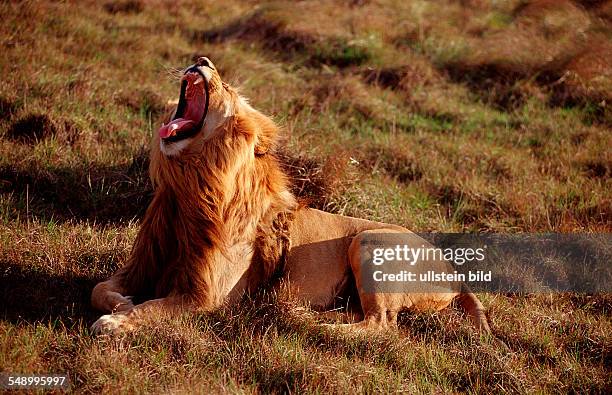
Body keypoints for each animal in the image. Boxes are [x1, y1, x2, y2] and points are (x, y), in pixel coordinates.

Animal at [91, 58, 490, 338]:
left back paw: (311, 325)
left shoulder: (208, 297)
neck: (189, 189)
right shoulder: (142, 266)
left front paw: (115, 322)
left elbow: (152, 309)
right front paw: (121, 303)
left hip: (368, 240)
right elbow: (100, 288)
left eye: (228, 88)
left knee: (382, 325)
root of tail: (455, 274)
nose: (201, 59)